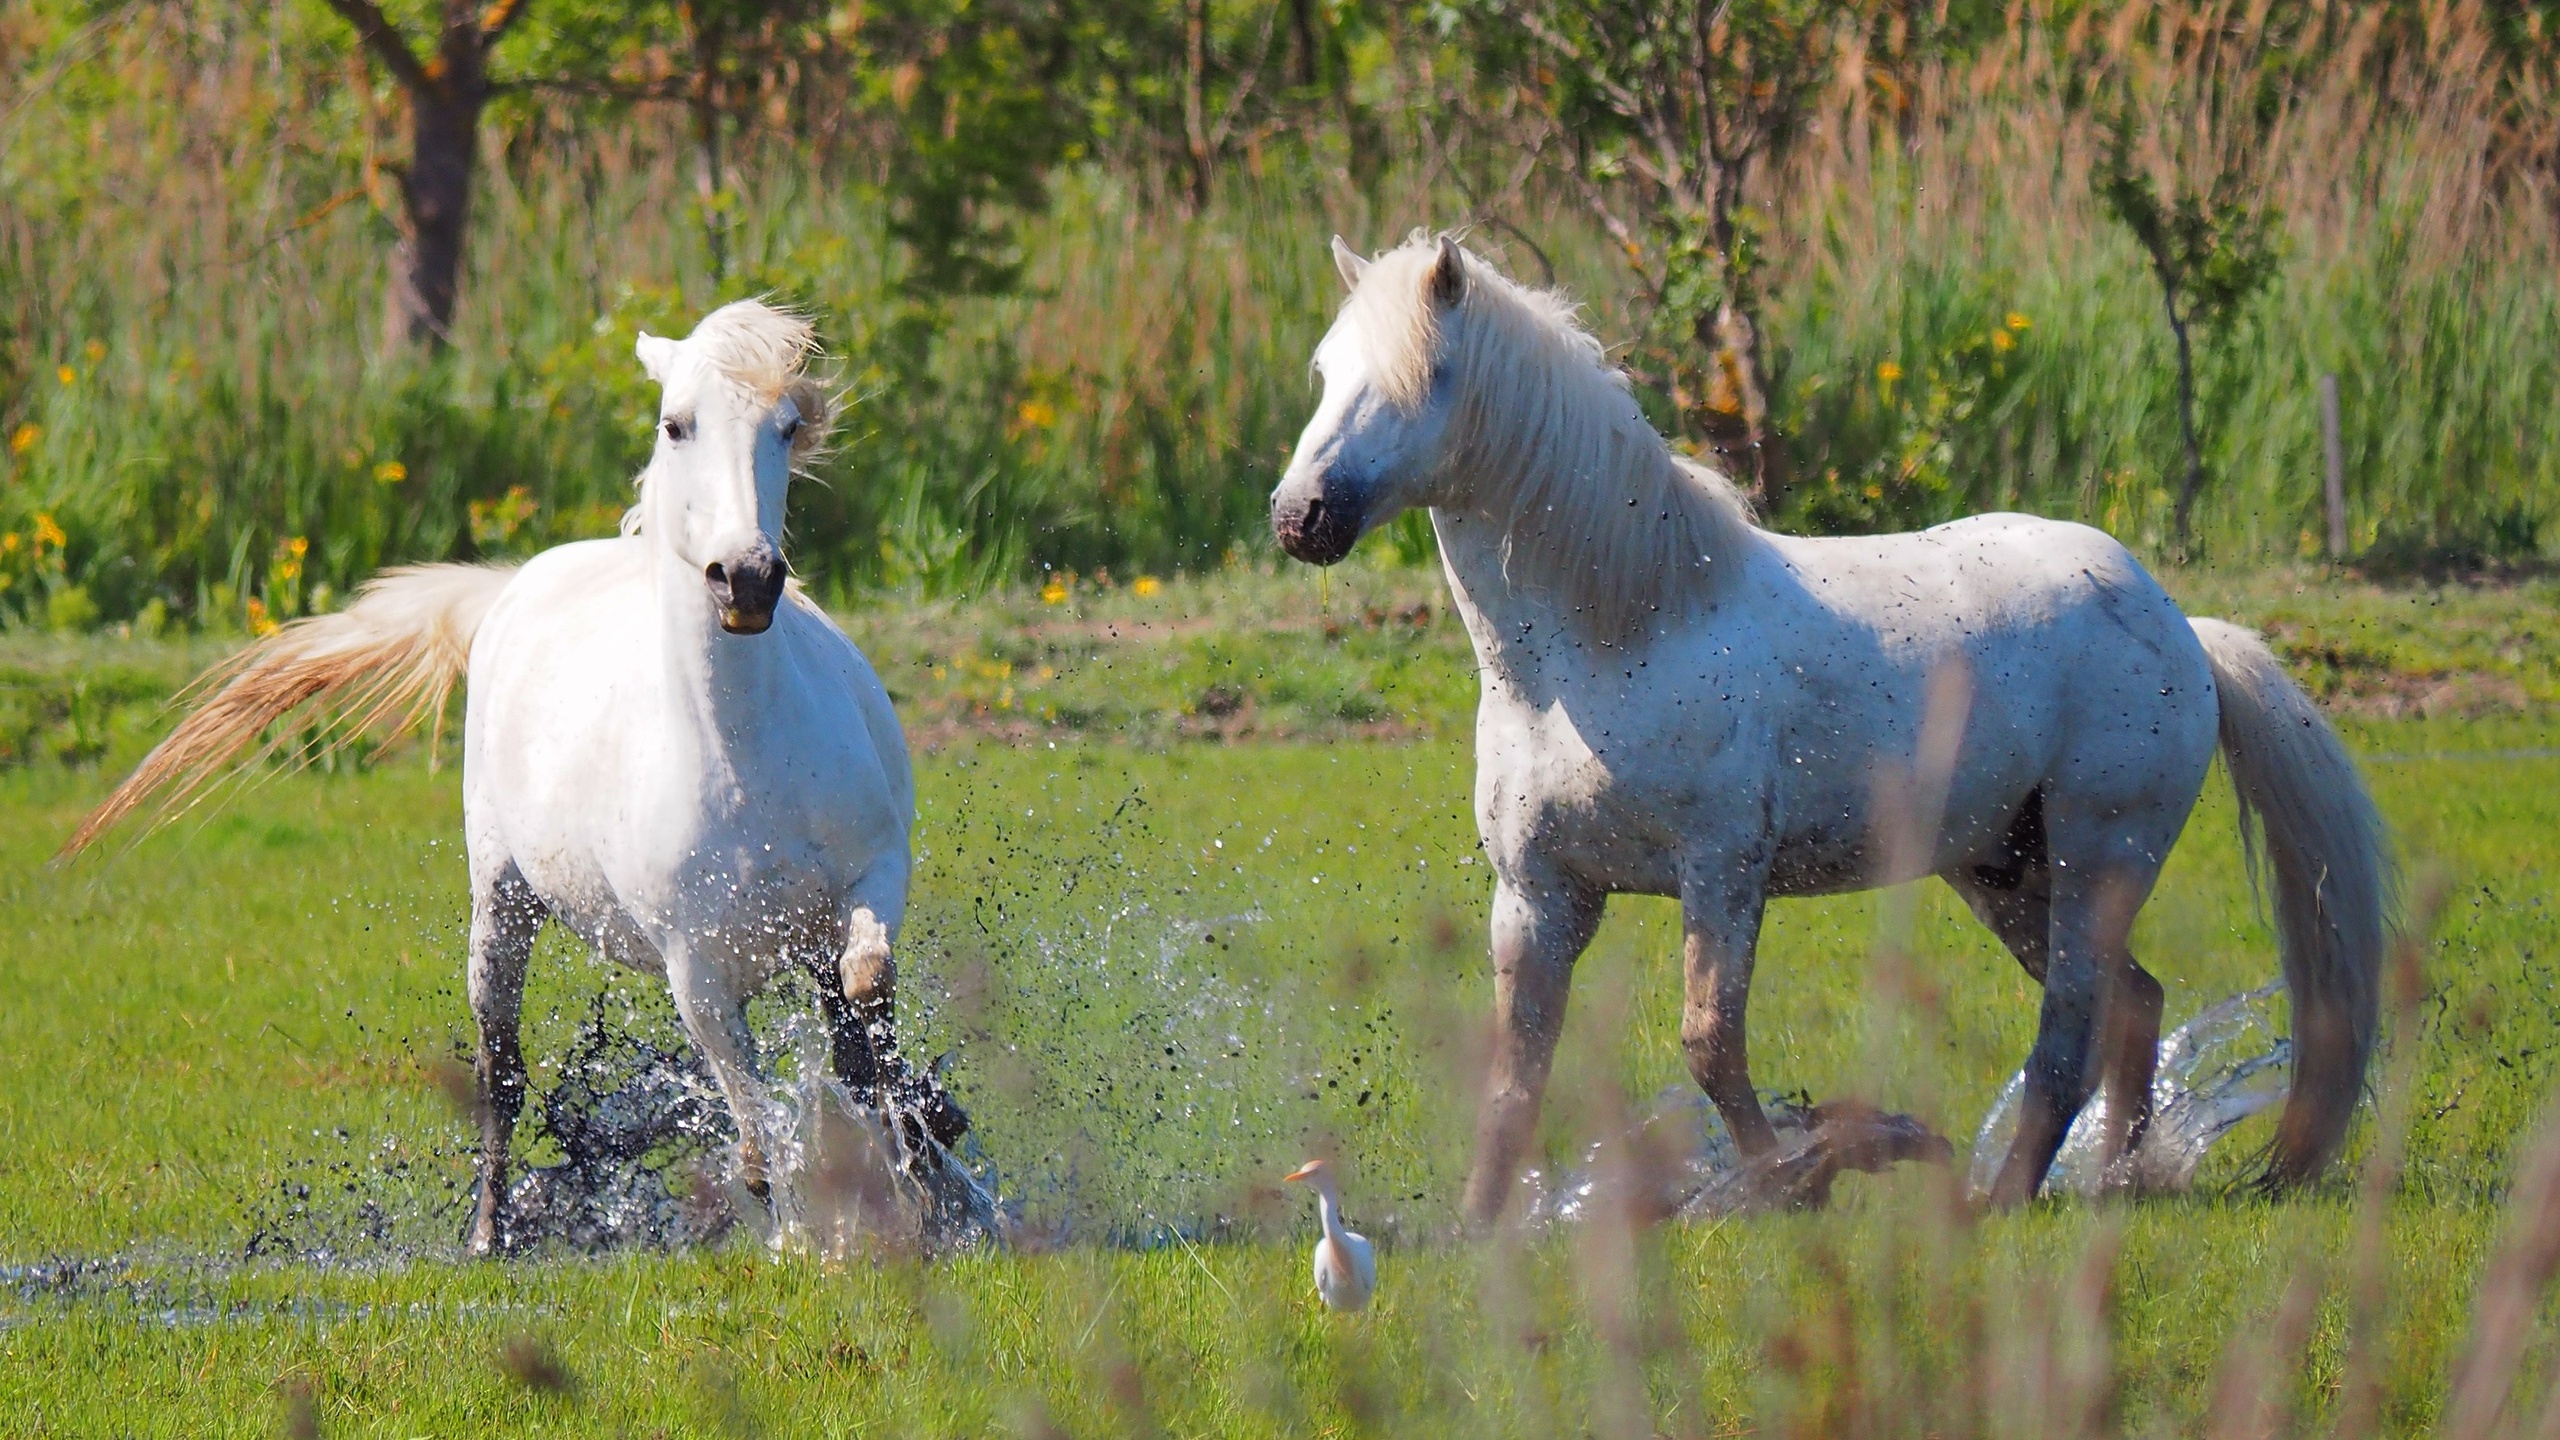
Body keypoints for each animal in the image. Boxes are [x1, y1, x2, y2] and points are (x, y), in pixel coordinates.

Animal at [65, 300, 967, 1254]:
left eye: (787, 427)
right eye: (675, 423)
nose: (748, 579)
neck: (746, 759)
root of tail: (520, 580)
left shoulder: (873, 879)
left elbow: (868, 1000)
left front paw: (927, 1161)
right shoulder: (694, 969)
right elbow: (755, 1112)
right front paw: (804, 1232)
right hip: (501, 898)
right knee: (501, 1070)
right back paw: (488, 1235)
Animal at [1269, 233, 2391, 1222]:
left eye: (1433, 372)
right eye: (1322, 372)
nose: (1299, 517)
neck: (1615, 637)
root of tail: (2183, 630)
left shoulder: (1722, 872)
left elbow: (1710, 1045)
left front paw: (1798, 1180)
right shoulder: (1540, 896)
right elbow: (1517, 1072)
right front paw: (1479, 1229)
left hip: (2098, 856)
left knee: (2072, 1033)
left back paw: (2004, 1199)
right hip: (2001, 872)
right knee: (2135, 1007)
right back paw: (2112, 1182)